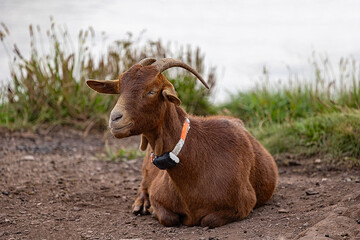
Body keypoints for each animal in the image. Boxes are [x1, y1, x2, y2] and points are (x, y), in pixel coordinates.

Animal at [87, 57, 278, 228]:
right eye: (120, 89)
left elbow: (209, 220)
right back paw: (140, 205)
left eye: (152, 91)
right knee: (143, 185)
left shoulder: (244, 203)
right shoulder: (158, 193)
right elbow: (168, 218)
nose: (115, 118)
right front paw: (152, 210)